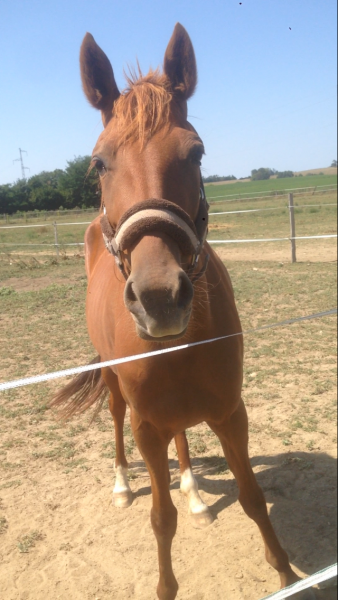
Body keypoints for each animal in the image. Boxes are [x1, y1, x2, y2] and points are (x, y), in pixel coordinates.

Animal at [51, 22, 316, 600]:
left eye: (195, 154)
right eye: (98, 163)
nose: (159, 298)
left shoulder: (230, 412)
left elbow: (253, 497)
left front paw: (286, 574)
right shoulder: (146, 427)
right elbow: (160, 519)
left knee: (184, 440)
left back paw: (195, 490)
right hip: (116, 393)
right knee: (116, 422)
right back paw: (123, 484)